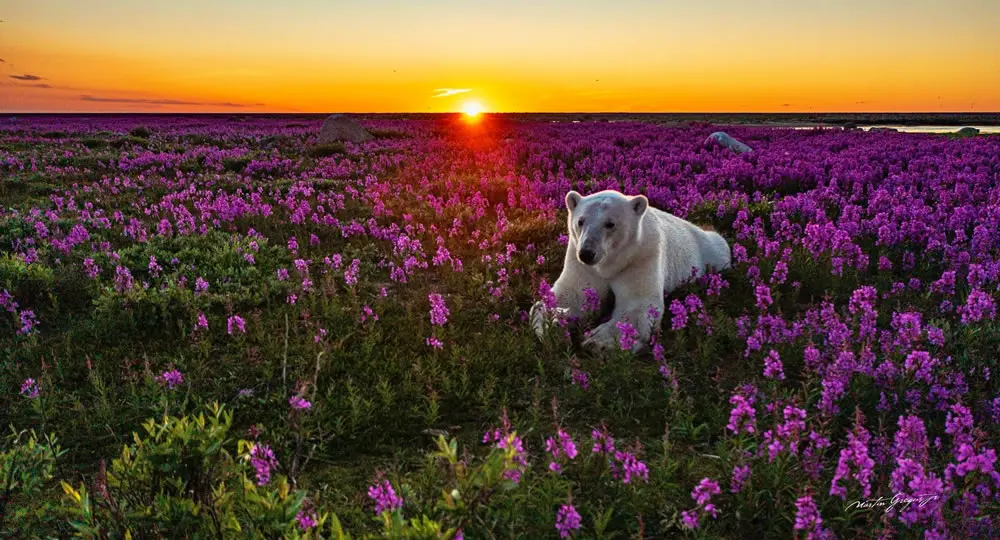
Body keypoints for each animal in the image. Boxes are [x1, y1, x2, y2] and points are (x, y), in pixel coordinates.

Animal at [530, 189, 732, 352]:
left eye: (610, 224)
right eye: (580, 221)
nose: (587, 253)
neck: (610, 263)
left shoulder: (641, 256)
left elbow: (639, 303)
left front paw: (598, 341)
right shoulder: (579, 261)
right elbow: (572, 294)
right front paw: (552, 326)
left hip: (711, 252)